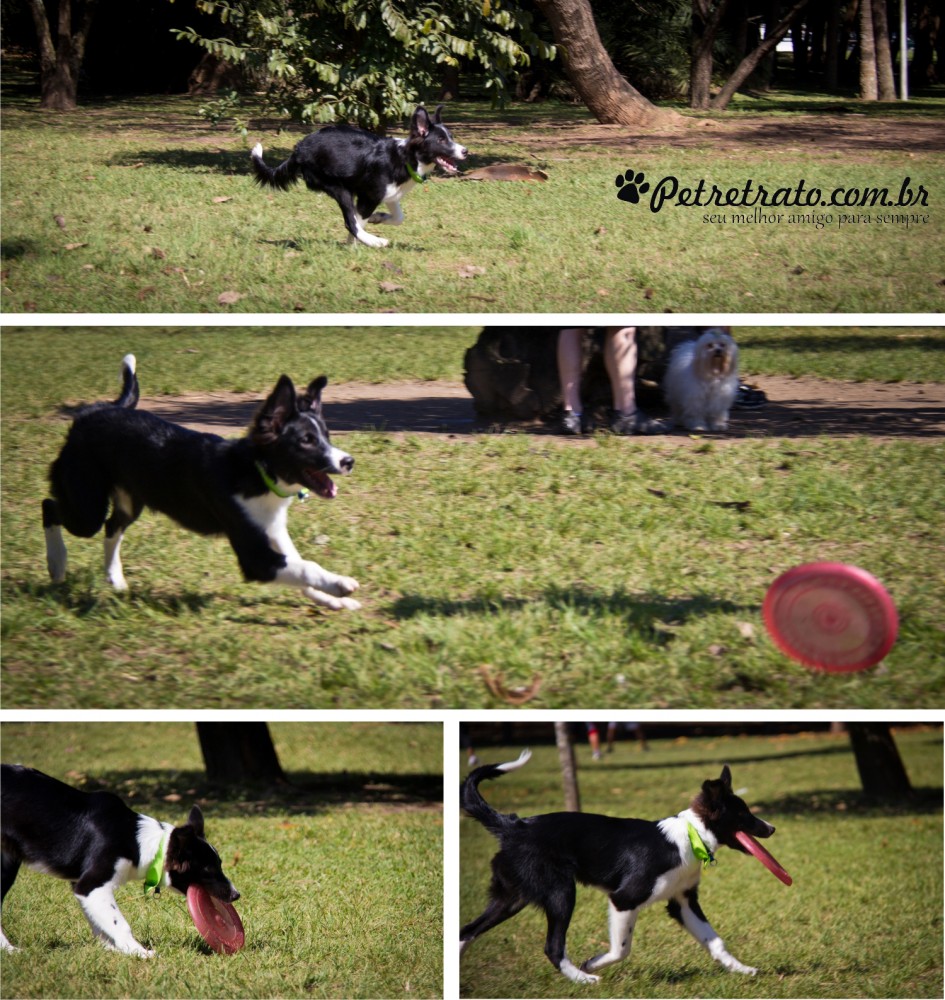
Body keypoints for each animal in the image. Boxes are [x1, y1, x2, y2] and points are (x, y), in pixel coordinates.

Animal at [1, 760, 238, 956]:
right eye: (209, 869)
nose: (237, 895)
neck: (139, 842)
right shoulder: (91, 885)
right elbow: (119, 923)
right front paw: (139, 952)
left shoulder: (81, 886)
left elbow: (100, 924)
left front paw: (114, 949)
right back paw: (10, 950)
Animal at [39, 356, 362, 612]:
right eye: (306, 441)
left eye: (326, 436)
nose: (348, 461)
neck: (257, 472)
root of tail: (93, 412)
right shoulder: (254, 557)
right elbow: (307, 567)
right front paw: (340, 583)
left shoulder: (273, 532)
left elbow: (299, 568)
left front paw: (334, 600)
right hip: (86, 505)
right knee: (50, 506)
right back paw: (57, 564)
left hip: (129, 501)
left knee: (111, 527)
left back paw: (115, 579)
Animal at [251, 104, 468, 249]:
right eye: (441, 140)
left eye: (451, 137)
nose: (465, 151)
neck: (406, 158)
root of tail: (299, 149)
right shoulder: (368, 197)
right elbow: (357, 221)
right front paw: (355, 245)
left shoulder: (390, 195)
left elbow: (398, 217)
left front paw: (377, 218)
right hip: (338, 188)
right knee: (350, 222)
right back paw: (375, 241)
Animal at [460, 752, 776, 980]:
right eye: (743, 814)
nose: (771, 828)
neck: (691, 835)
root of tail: (514, 826)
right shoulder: (624, 898)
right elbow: (621, 949)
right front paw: (591, 964)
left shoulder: (683, 901)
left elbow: (715, 941)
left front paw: (742, 969)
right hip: (560, 893)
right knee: (553, 946)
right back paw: (583, 979)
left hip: (512, 897)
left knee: (466, 931)